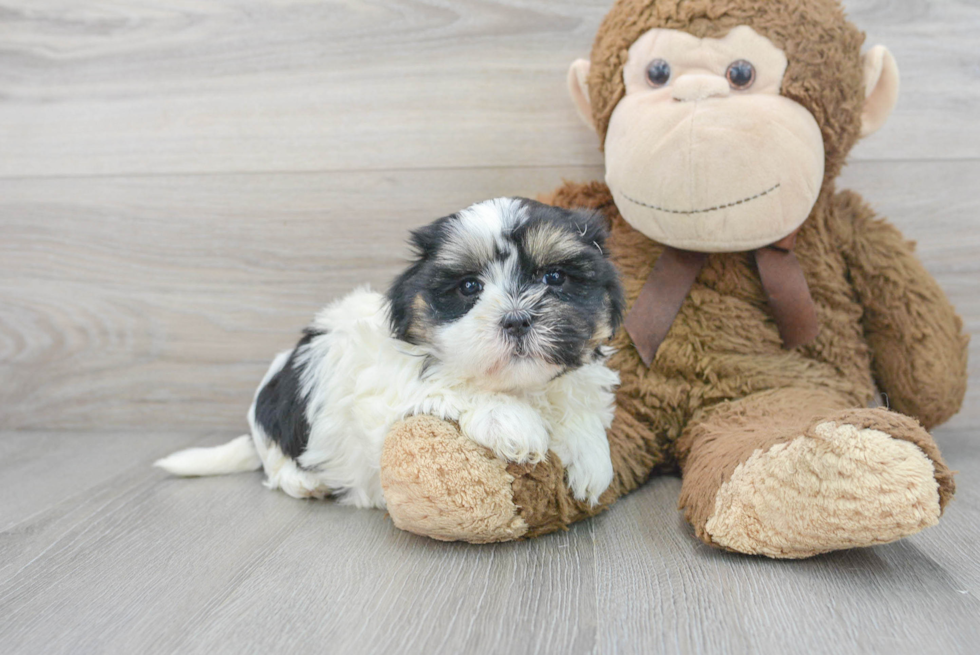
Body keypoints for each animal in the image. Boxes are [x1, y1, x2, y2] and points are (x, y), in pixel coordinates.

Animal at [157, 199, 624, 508]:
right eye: (469, 287)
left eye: (555, 277)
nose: (516, 319)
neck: (519, 387)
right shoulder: (386, 396)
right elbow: (450, 384)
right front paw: (511, 420)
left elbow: (579, 406)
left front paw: (592, 459)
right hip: (279, 431)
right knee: (276, 468)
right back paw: (303, 482)